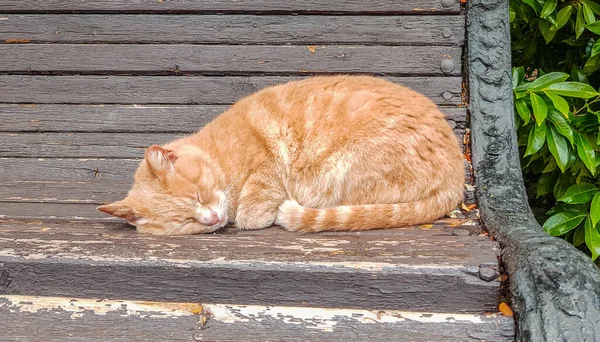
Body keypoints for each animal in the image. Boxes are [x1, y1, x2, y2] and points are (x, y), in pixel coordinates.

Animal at [97, 75, 464, 235]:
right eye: (185, 221)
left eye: (199, 195)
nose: (212, 219)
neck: (219, 150)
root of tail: (458, 176)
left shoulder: (265, 165)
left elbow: (254, 205)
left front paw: (251, 214)